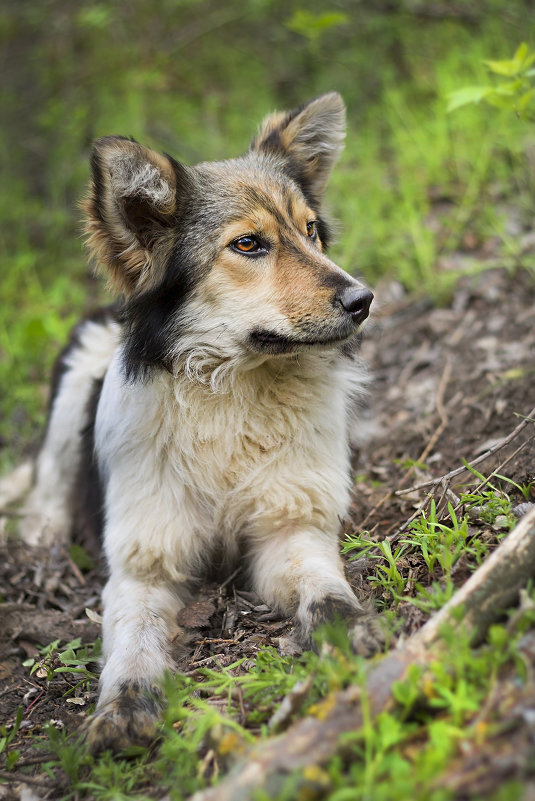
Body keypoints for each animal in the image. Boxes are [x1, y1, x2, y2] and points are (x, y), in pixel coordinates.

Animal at [16, 94, 382, 752]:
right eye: (248, 245)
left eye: (311, 231)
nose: (363, 300)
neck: (232, 395)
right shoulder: (143, 563)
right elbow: (133, 640)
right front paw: (124, 707)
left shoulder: (291, 528)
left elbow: (326, 590)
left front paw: (353, 629)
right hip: (79, 365)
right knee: (47, 484)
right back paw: (43, 533)